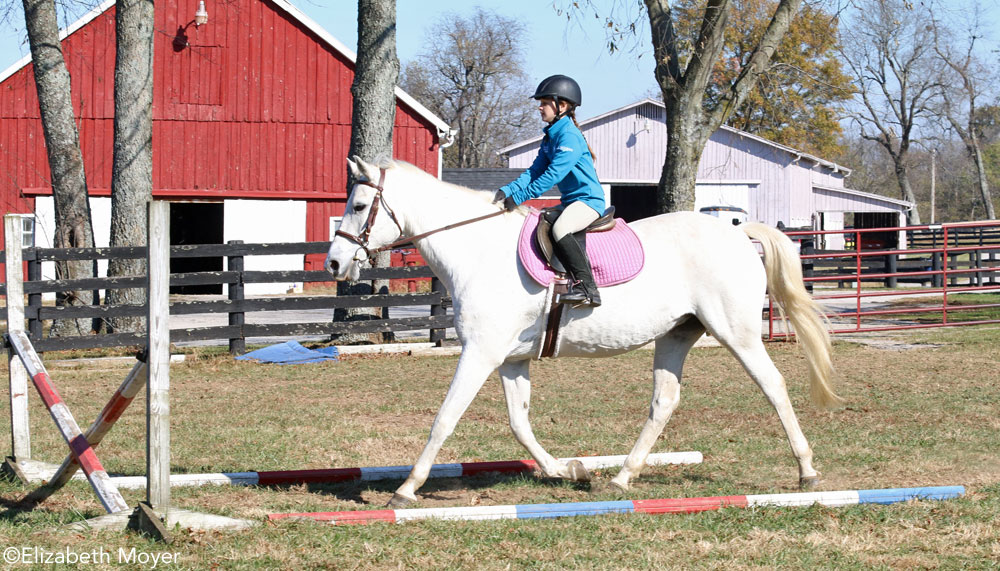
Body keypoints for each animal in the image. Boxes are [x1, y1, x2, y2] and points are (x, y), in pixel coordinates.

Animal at [324, 158, 840, 510]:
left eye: (360, 205)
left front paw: (407, 488)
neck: (476, 250)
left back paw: (808, 471)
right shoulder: (510, 359)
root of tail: (737, 234)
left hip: (736, 332)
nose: (332, 263)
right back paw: (622, 478)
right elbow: (519, 423)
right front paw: (567, 471)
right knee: (664, 402)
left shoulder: (480, 354)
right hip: (677, 334)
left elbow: (445, 419)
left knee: (773, 386)